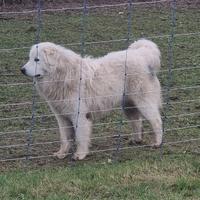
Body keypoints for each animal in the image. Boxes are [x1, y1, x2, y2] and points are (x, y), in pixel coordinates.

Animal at [21, 39, 162, 160]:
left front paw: (80, 155)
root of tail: (141, 54)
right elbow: (64, 138)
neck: (62, 75)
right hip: (129, 105)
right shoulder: (61, 117)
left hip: (143, 103)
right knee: (137, 121)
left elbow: (80, 137)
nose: (22, 70)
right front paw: (62, 153)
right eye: (30, 58)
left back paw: (157, 143)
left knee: (156, 121)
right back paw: (136, 140)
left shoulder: (79, 116)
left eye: (37, 59)